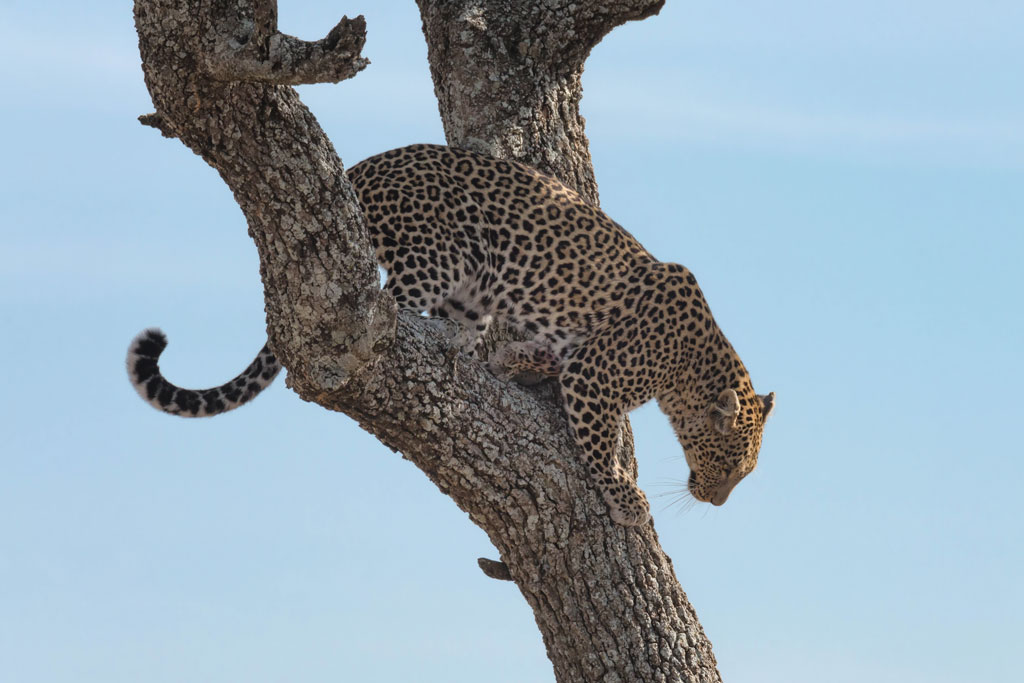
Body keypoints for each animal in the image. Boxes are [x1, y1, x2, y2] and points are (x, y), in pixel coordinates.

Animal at [127, 143, 774, 526]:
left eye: (742, 473)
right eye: (729, 463)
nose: (716, 501)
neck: (692, 368)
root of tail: (356, 169)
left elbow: (532, 357)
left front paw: (517, 360)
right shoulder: (595, 378)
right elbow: (598, 446)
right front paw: (625, 500)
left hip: (473, 285)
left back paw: (461, 344)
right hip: (441, 252)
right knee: (386, 307)